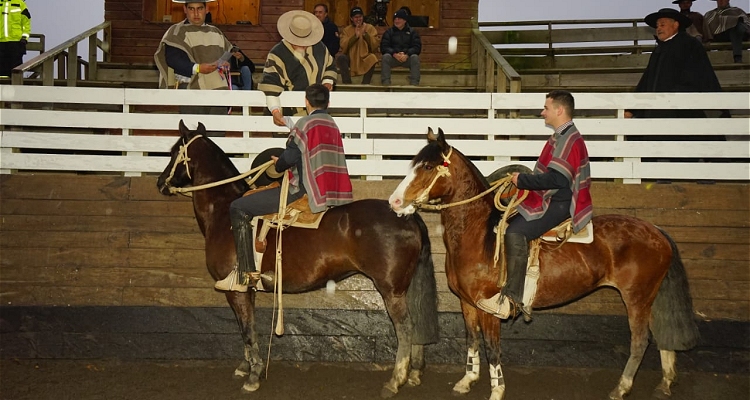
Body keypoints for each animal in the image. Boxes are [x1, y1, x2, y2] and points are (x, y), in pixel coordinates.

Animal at [157, 122, 440, 396]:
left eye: (173, 152)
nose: (160, 182)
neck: (224, 213)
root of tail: (407, 214)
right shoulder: (245, 290)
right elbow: (246, 327)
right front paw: (246, 366)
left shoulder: (235, 290)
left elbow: (246, 330)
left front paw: (253, 375)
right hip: (404, 286)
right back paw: (414, 373)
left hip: (391, 290)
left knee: (405, 327)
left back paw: (395, 380)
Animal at [390, 128, 704, 400]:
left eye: (427, 167)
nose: (395, 201)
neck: (480, 236)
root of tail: (655, 229)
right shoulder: (467, 303)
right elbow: (471, 339)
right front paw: (467, 380)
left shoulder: (490, 309)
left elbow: (492, 347)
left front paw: (497, 390)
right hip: (650, 295)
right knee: (662, 332)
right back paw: (665, 383)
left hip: (636, 297)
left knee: (640, 340)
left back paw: (621, 388)